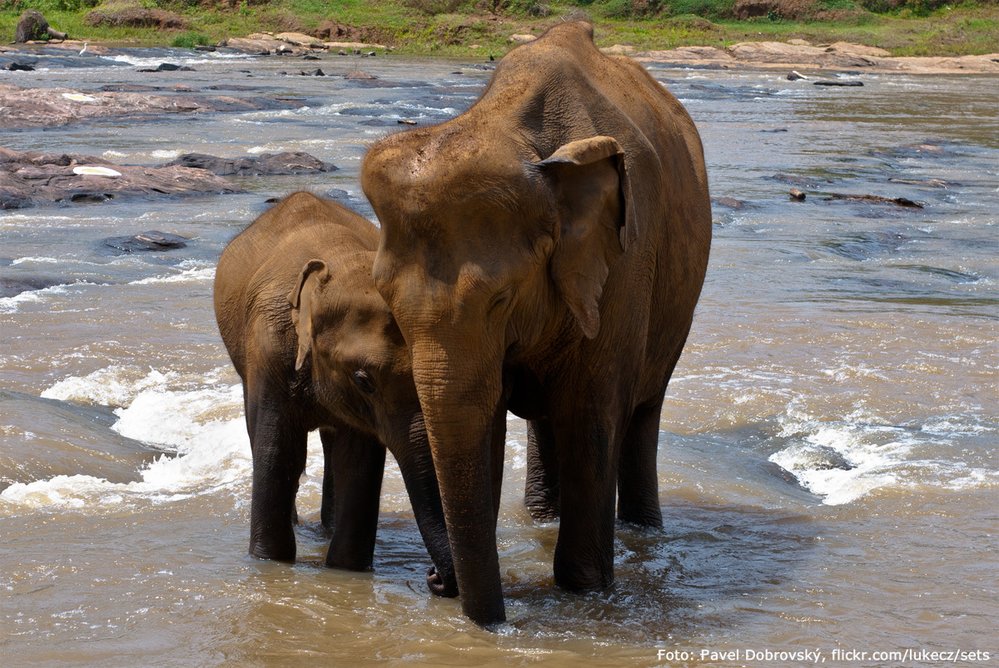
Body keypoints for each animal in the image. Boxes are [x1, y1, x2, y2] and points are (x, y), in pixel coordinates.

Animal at [217, 190, 458, 596]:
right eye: (364, 380)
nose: (434, 577)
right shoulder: (268, 349)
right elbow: (278, 451)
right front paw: (270, 562)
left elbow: (358, 461)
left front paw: (346, 569)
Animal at [360, 22, 712, 628]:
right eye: (387, 302)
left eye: (501, 299)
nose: (433, 580)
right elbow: (483, 420)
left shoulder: (625, 264)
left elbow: (592, 414)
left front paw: (585, 592)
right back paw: (541, 516)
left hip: (676, 304)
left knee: (643, 410)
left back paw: (642, 530)